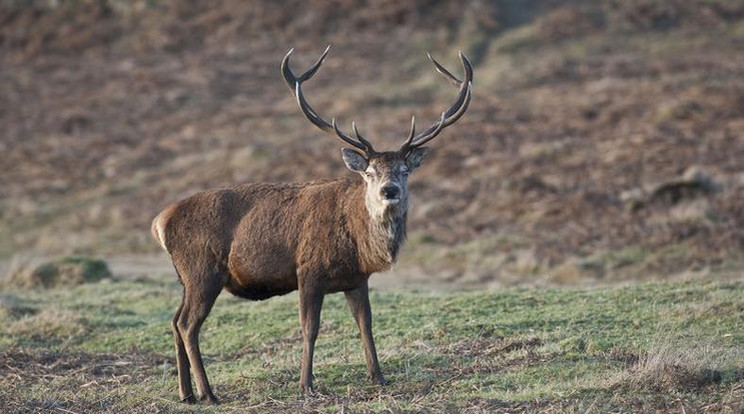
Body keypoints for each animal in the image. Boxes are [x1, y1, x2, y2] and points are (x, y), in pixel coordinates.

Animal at [152, 46, 474, 404]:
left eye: (405, 170)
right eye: (369, 172)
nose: (389, 190)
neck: (358, 243)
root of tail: (160, 222)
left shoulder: (356, 279)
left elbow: (366, 324)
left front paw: (378, 377)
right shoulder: (308, 270)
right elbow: (310, 328)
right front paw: (306, 384)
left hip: (186, 278)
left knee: (174, 320)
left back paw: (186, 393)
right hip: (203, 271)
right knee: (188, 325)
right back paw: (208, 393)